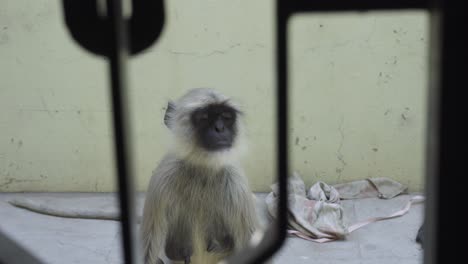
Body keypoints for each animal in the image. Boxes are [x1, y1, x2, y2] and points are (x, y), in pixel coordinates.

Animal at [143, 88, 260, 264]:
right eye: (204, 117)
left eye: (226, 117)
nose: (220, 128)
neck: (204, 168)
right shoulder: (164, 175)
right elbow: (149, 248)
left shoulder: (236, 181)